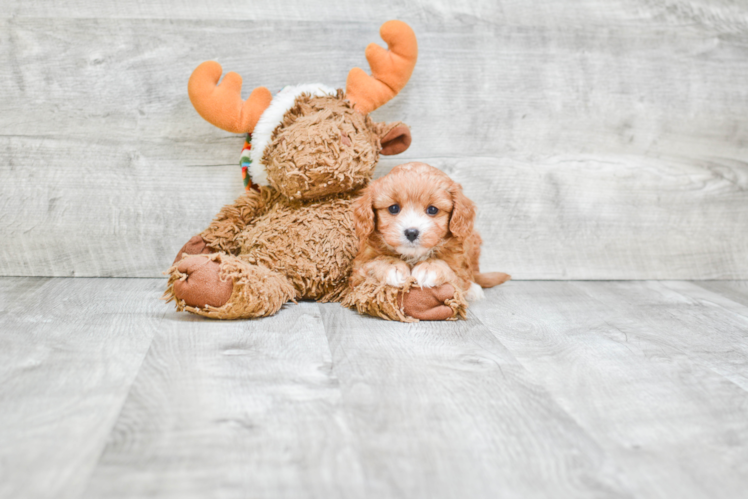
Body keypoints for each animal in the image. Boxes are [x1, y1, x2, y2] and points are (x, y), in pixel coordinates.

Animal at [350, 162, 508, 306]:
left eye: (432, 210)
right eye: (393, 208)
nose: (411, 233)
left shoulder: (458, 265)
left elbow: (454, 273)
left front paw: (430, 267)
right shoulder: (358, 270)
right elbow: (374, 262)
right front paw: (391, 266)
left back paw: (473, 289)